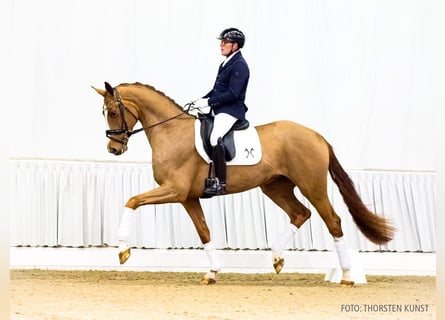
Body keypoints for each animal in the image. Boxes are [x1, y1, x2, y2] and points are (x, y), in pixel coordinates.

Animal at [93, 80, 392, 284]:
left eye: (113, 112)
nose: (113, 149)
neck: (171, 132)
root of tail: (317, 136)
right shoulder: (188, 197)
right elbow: (204, 232)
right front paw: (212, 272)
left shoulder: (174, 191)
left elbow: (131, 201)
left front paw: (123, 251)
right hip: (275, 186)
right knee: (300, 213)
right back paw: (277, 258)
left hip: (312, 186)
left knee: (333, 221)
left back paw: (346, 275)